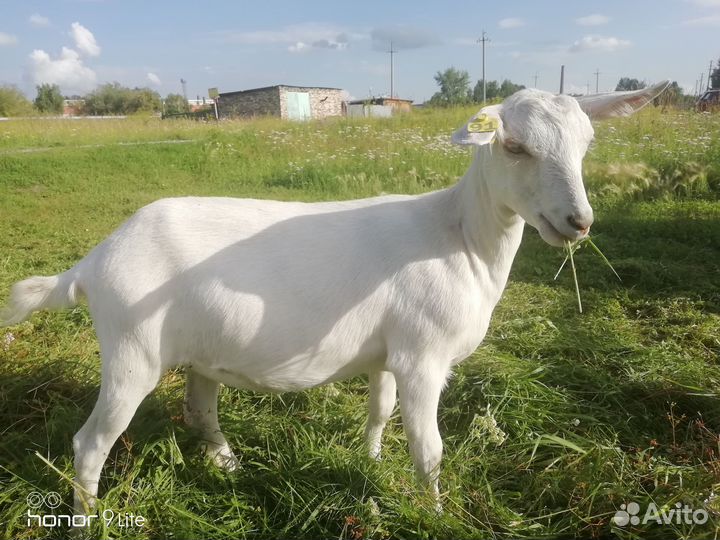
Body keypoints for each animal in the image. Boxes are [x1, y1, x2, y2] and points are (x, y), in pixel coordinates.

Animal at [1, 82, 668, 514]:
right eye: (514, 147)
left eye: (586, 145)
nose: (577, 222)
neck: (459, 235)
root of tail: (93, 261)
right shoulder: (424, 357)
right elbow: (429, 448)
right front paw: (434, 512)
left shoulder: (389, 353)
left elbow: (379, 412)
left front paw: (369, 463)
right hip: (130, 351)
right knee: (91, 442)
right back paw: (89, 518)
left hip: (195, 349)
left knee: (199, 407)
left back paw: (227, 465)